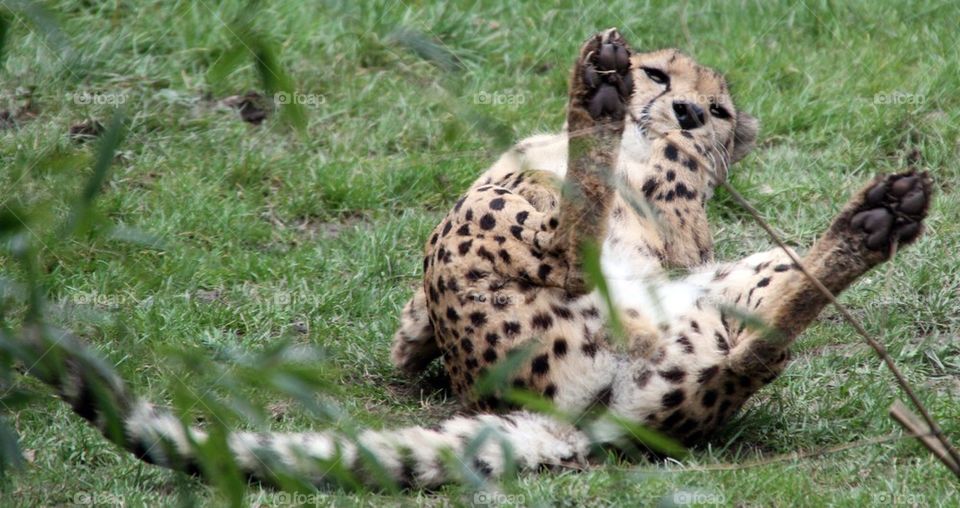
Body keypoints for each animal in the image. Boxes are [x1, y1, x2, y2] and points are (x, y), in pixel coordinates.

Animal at [22, 28, 931, 490]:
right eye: (663, 70)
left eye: (715, 108)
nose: (679, 109)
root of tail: (584, 421)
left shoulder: (683, 223)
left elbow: (668, 208)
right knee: (720, 325)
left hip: (686, 296)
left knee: (724, 329)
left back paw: (873, 219)